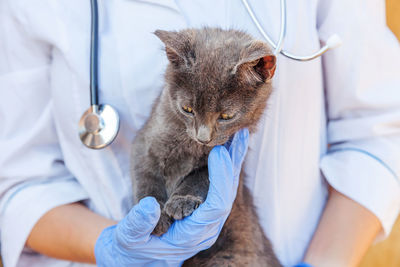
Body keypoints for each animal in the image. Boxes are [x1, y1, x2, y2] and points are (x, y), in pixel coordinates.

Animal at [131, 28, 282, 266]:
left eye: (226, 116)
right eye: (187, 109)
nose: (203, 137)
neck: (188, 147)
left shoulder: (229, 160)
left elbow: (204, 174)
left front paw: (181, 201)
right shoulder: (145, 143)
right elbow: (146, 178)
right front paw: (154, 216)